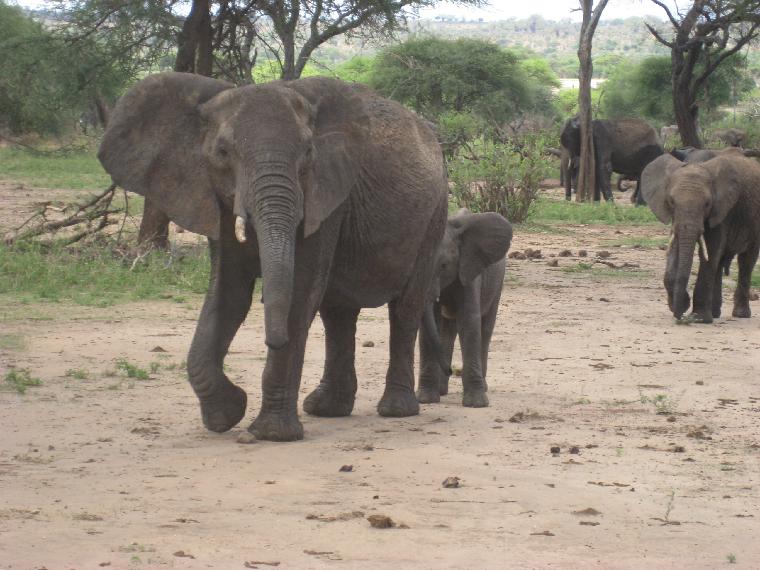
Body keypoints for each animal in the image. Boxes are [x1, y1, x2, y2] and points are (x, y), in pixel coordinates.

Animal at [98, 72, 448, 440]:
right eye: (222, 152)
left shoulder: (326, 196)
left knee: (405, 307)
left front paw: (271, 434)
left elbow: (299, 292)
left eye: (308, 152)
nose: (272, 336)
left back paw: (396, 411)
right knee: (337, 312)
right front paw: (226, 414)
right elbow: (228, 293)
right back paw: (326, 409)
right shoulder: (216, 198)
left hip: (434, 214)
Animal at [416, 211, 516, 406]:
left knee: (485, 329)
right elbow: (430, 325)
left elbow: (469, 321)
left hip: (497, 283)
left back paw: (482, 387)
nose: (450, 370)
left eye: (443, 265)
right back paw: (442, 390)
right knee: (447, 331)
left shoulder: (469, 270)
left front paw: (476, 403)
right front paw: (425, 399)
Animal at [640, 151, 760, 322]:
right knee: (720, 262)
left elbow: (710, 251)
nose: (680, 315)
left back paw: (740, 314)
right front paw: (683, 306)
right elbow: (677, 246)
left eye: (707, 204)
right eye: (671, 201)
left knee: (746, 260)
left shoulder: (722, 210)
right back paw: (715, 314)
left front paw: (698, 317)